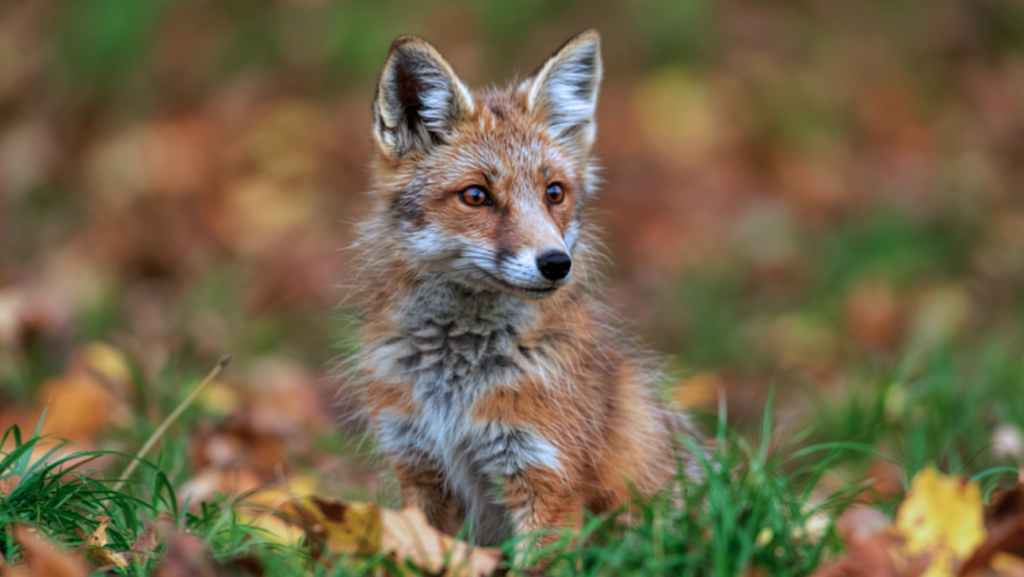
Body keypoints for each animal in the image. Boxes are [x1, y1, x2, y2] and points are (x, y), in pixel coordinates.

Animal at [349, 30, 702, 547]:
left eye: (554, 192)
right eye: (476, 196)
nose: (556, 264)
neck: (455, 383)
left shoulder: (544, 475)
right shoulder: (417, 465)